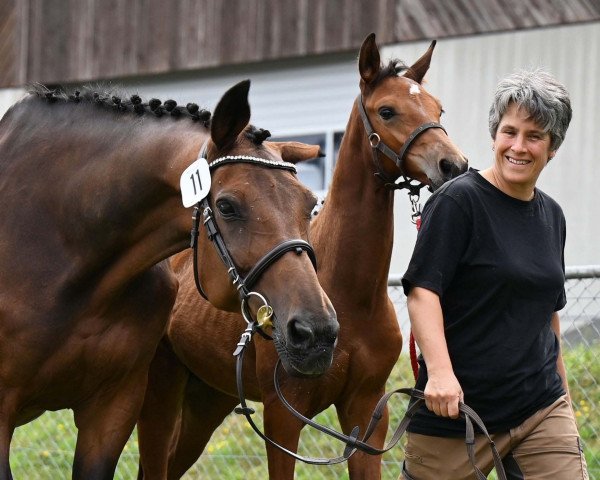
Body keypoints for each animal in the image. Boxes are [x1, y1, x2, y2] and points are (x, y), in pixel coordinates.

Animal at [137, 31, 468, 478]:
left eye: (438, 108)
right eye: (387, 110)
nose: (453, 165)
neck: (352, 294)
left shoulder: (367, 414)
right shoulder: (284, 417)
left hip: (207, 400)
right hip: (162, 391)